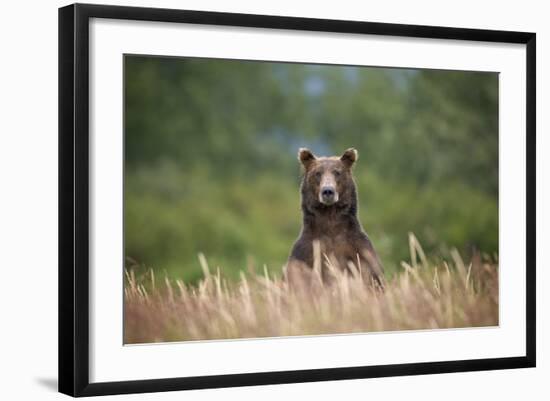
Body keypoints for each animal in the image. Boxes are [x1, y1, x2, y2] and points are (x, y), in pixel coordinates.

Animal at [286, 148, 386, 288]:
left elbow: (373, 277)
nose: (328, 191)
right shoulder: (306, 253)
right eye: (318, 173)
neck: (330, 217)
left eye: (337, 172)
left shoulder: (359, 250)